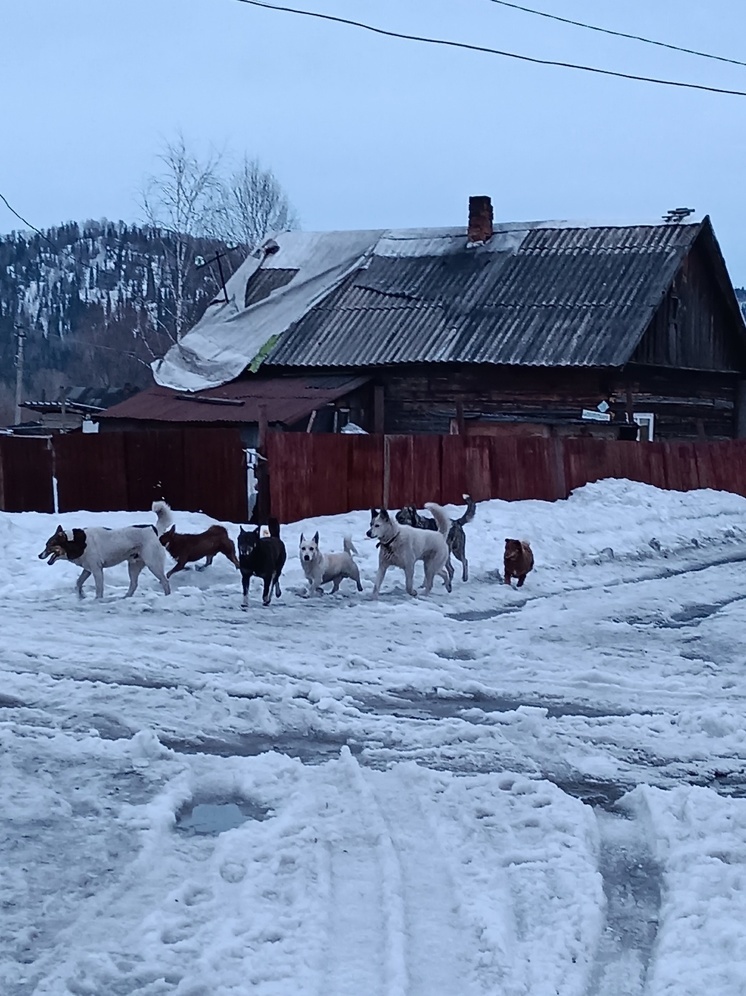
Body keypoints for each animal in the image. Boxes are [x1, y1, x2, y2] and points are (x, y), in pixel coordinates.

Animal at [39, 520, 171, 600]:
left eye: (49, 545)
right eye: (46, 544)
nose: (39, 555)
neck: (75, 541)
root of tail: (153, 529)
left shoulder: (97, 570)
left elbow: (99, 588)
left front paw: (97, 599)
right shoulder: (88, 569)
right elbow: (78, 582)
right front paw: (81, 596)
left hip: (153, 564)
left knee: (164, 581)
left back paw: (167, 596)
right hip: (133, 566)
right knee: (134, 584)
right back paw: (125, 597)